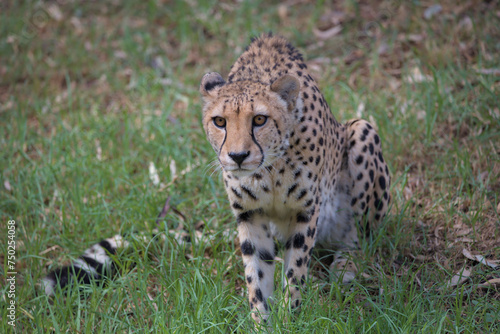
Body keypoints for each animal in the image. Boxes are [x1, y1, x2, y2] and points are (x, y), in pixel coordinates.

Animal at [200, 33, 390, 320]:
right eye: (219, 121)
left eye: (259, 119)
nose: (238, 155)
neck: (269, 169)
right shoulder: (250, 214)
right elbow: (256, 274)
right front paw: (262, 321)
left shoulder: (306, 210)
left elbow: (296, 269)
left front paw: (290, 316)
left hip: (362, 131)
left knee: (361, 238)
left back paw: (345, 266)